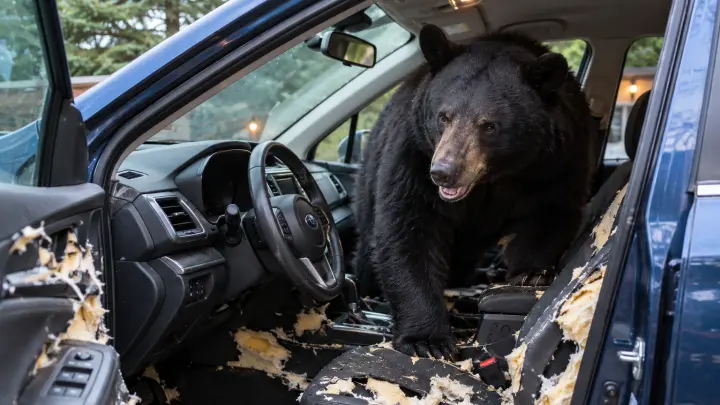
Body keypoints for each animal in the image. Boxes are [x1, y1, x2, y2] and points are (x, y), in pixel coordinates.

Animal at [352, 25, 593, 359]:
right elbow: (409, 227)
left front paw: (530, 274)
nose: (443, 172)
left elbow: (551, 212)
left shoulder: (555, 161)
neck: (493, 178)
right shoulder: (414, 153)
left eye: (489, 125)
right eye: (443, 116)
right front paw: (427, 339)